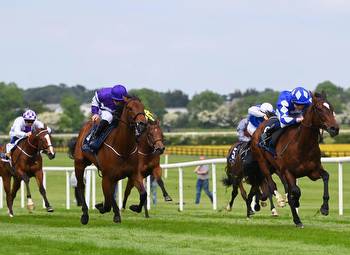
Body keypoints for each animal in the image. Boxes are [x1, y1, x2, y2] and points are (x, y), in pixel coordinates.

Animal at [68, 96, 146, 225]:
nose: (142, 124)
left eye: (142, 107)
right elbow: (109, 201)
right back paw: (85, 215)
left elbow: (143, 194)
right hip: (79, 164)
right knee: (81, 186)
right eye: (130, 108)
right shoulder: (107, 177)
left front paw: (134, 207)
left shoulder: (133, 174)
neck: (123, 148)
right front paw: (103, 208)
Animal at [252, 92, 340, 228]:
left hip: (278, 170)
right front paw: (295, 204)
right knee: (272, 183)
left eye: (331, 108)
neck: (301, 145)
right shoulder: (289, 172)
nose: (334, 128)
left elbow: (326, 176)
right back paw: (282, 202)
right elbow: (295, 190)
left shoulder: (313, 171)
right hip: (263, 163)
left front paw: (324, 208)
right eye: (319, 109)